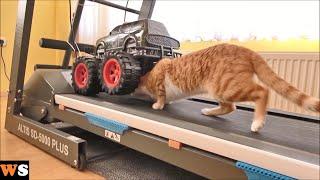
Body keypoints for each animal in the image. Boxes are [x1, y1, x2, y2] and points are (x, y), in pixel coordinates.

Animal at [133, 43, 320, 131]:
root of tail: (246, 50)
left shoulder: (160, 77)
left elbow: (161, 94)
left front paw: (158, 104)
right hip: (222, 91)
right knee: (229, 107)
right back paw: (209, 112)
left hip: (226, 87)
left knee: (262, 91)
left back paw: (257, 122)